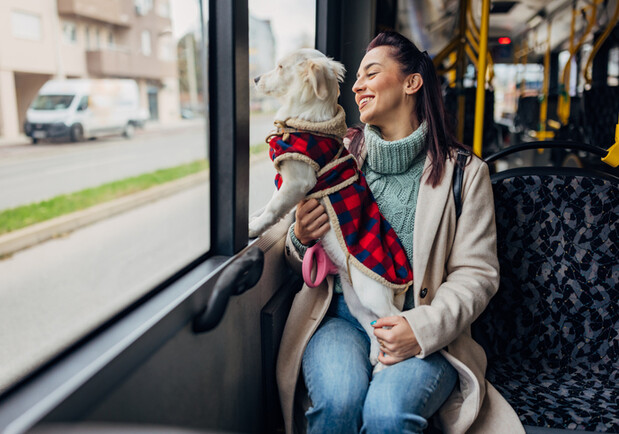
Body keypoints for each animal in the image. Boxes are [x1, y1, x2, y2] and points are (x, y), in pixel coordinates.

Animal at [249, 49, 413, 372]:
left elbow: (274, 209)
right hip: (354, 298)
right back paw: (374, 354)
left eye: (280, 67)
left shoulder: (297, 182)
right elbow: (270, 204)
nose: (256, 78)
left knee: (396, 320)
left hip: (371, 292)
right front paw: (254, 217)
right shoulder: (287, 181)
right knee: (372, 325)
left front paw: (254, 228)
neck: (306, 122)